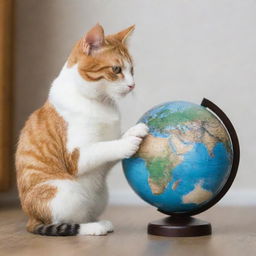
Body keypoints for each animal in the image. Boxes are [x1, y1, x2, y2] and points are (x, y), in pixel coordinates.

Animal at [15, 24, 148, 236]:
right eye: (116, 69)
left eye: (132, 70)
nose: (132, 85)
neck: (100, 102)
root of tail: (30, 218)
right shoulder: (75, 157)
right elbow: (102, 147)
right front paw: (127, 142)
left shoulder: (107, 145)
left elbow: (110, 143)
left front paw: (133, 131)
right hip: (62, 190)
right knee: (66, 223)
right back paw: (96, 227)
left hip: (99, 197)